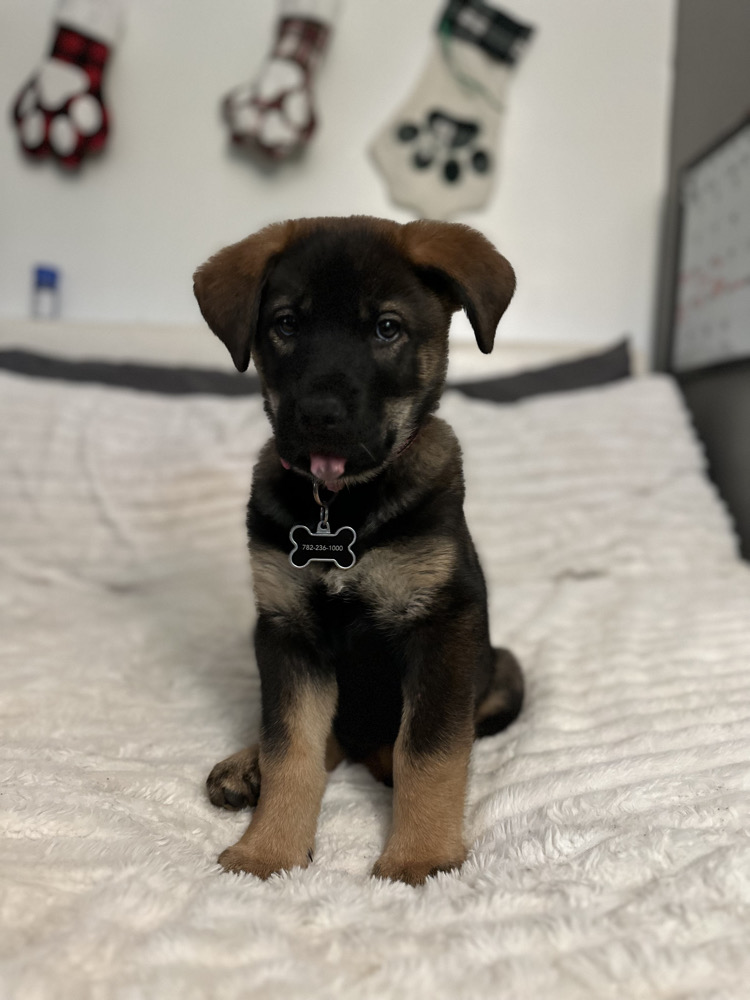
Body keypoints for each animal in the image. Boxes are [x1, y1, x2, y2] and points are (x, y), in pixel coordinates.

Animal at [193, 215, 523, 886]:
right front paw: (269, 851)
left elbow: (429, 749)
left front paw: (420, 857)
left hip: (502, 668)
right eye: (286, 323)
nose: (320, 415)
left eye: (387, 327)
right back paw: (248, 767)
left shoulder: (442, 625)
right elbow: (291, 747)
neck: (341, 505)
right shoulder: (287, 632)